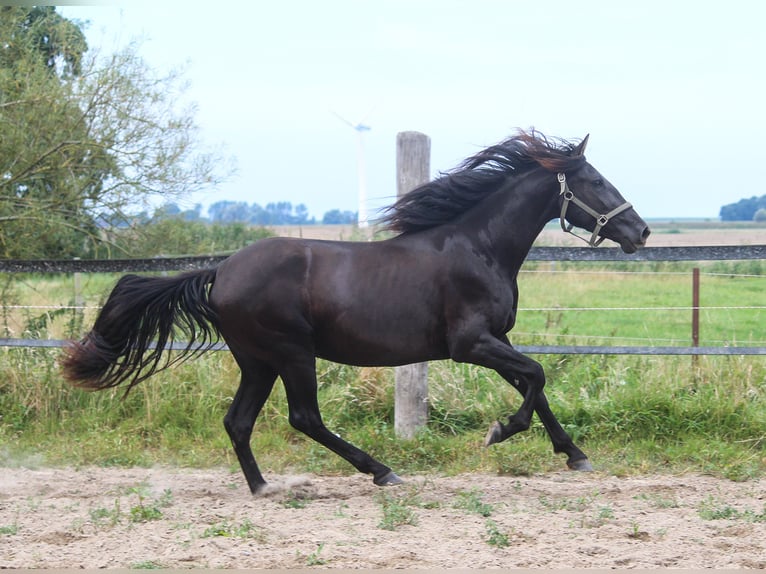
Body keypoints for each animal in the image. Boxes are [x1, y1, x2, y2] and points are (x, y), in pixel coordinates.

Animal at [66, 130, 652, 496]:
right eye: (596, 181)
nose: (642, 231)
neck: (479, 247)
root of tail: (222, 270)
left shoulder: (494, 342)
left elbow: (537, 384)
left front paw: (574, 454)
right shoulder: (470, 344)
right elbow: (537, 375)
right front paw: (500, 431)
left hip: (257, 361)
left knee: (239, 421)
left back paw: (263, 487)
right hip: (290, 353)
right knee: (304, 418)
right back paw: (382, 472)